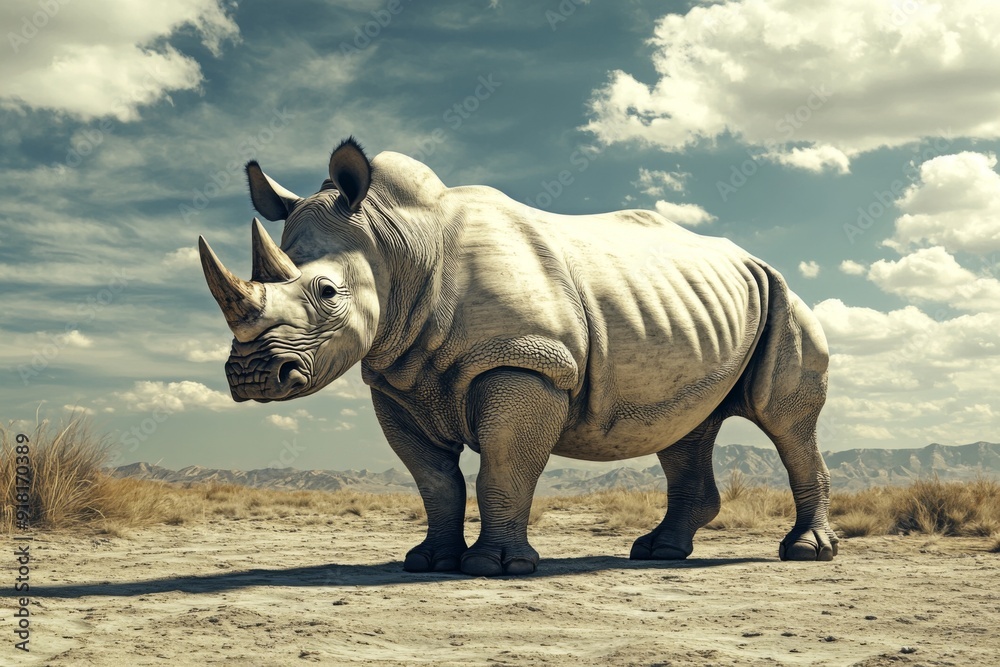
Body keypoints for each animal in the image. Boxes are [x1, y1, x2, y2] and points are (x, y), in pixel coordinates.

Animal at [199, 137, 838, 576]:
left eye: (328, 293)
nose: (253, 375)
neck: (397, 242)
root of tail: (753, 258)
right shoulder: (396, 378)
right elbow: (435, 480)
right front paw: (428, 562)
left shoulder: (526, 361)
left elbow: (503, 466)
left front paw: (496, 567)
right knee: (685, 425)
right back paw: (658, 554)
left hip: (783, 296)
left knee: (785, 420)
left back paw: (806, 555)